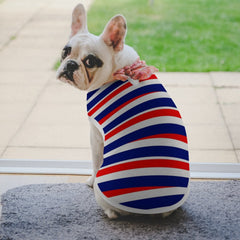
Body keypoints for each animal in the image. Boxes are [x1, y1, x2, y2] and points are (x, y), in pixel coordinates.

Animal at [56, 3, 189, 219]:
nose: (71, 64)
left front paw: (90, 180)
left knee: (112, 212)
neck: (118, 69)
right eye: (65, 51)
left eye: (90, 61)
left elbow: (96, 160)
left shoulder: (95, 134)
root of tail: (150, 207)